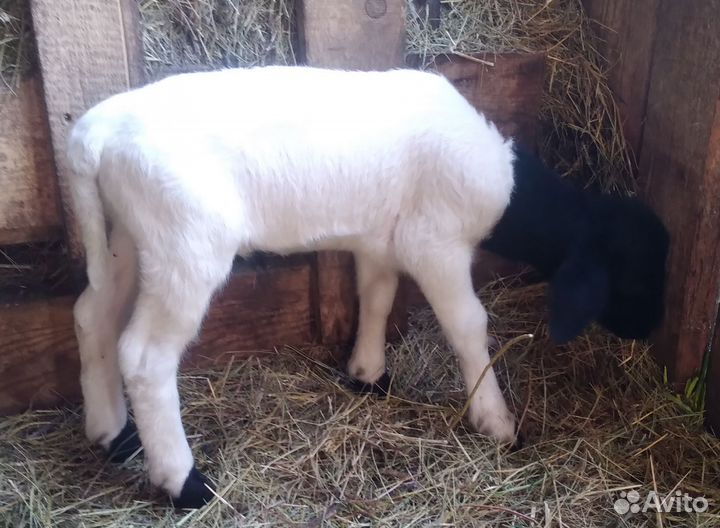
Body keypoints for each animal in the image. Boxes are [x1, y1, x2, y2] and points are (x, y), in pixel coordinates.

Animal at [67, 65, 669, 508]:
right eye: (635, 274)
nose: (652, 329)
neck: (507, 187)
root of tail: (92, 134)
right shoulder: (435, 243)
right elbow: (469, 325)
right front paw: (496, 421)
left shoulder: (381, 239)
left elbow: (376, 298)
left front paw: (368, 374)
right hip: (185, 243)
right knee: (145, 357)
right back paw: (183, 482)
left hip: (131, 234)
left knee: (92, 314)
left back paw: (112, 435)